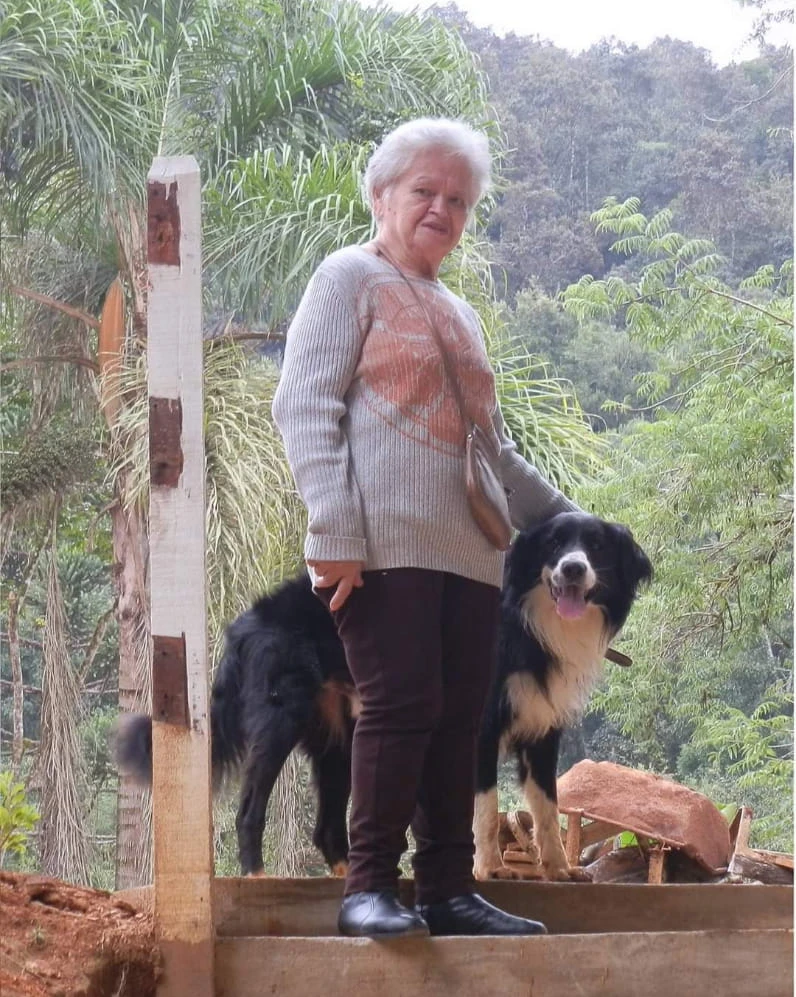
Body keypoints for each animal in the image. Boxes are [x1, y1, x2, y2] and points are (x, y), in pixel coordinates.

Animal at [116, 511, 651, 879]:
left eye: (596, 546)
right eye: (554, 545)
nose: (574, 569)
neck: (530, 619)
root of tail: (246, 622)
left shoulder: (542, 727)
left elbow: (546, 804)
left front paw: (559, 869)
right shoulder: (477, 722)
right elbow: (484, 804)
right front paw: (489, 868)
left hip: (338, 733)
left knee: (326, 824)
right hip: (283, 712)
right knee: (250, 808)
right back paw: (258, 877)